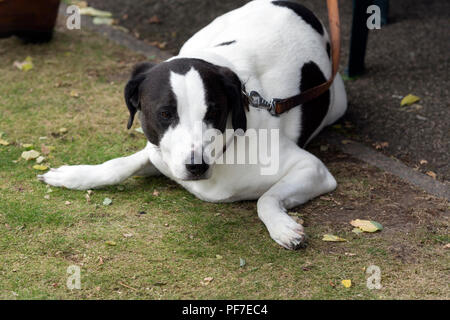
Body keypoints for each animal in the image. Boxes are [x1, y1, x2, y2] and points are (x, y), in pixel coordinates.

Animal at [39, 0, 348, 249]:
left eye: (214, 112)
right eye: (165, 114)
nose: (196, 166)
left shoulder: (312, 169)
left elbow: (266, 198)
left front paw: (283, 227)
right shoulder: (159, 154)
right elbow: (119, 165)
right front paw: (75, 175)